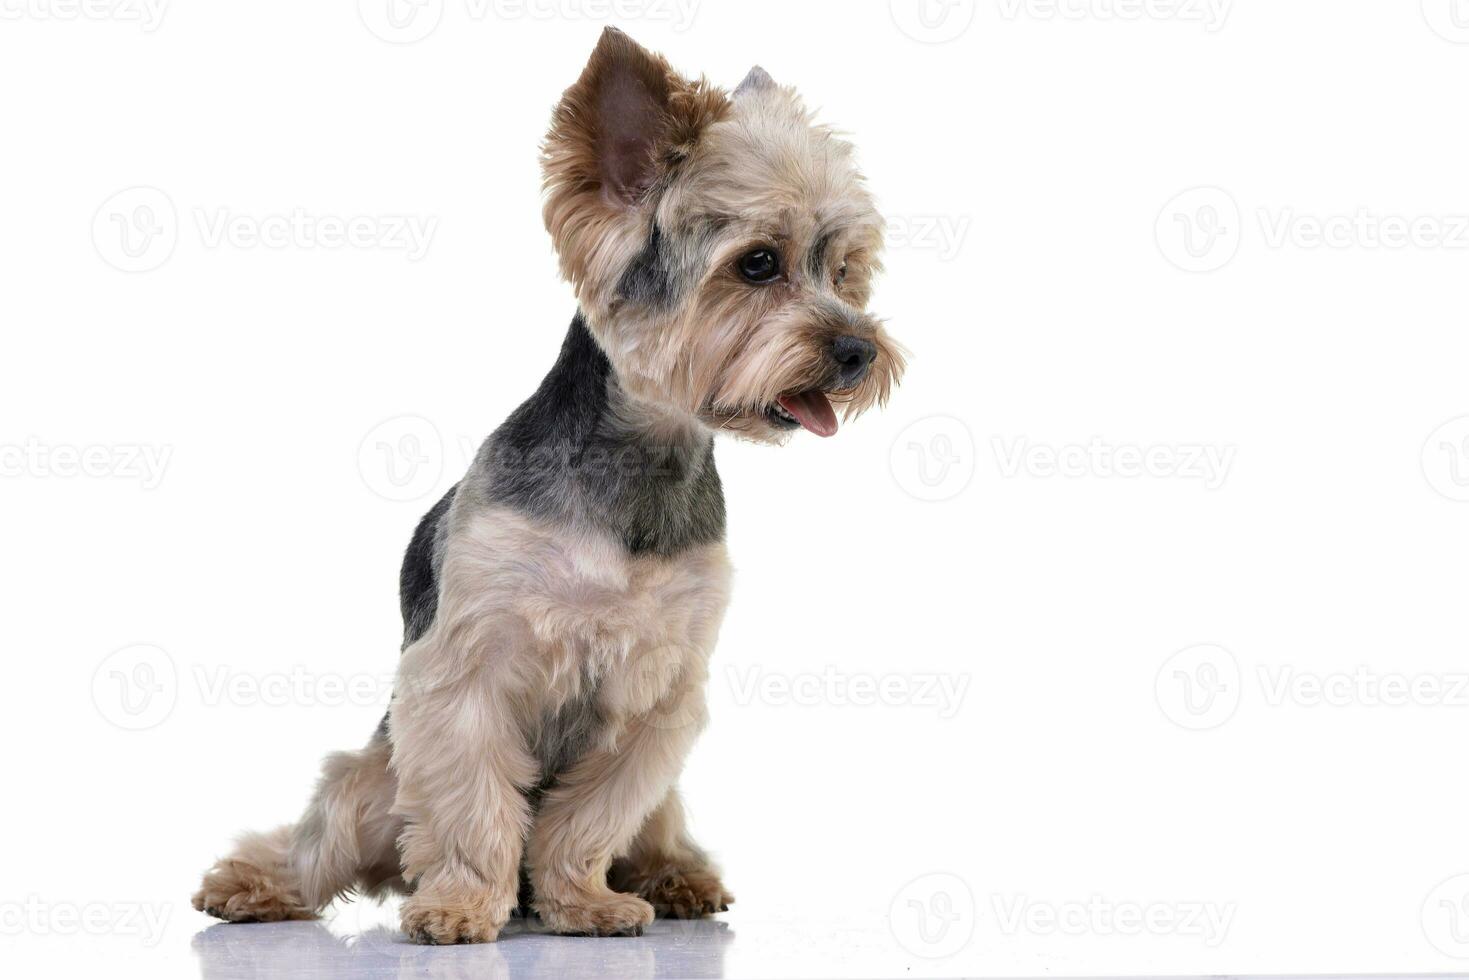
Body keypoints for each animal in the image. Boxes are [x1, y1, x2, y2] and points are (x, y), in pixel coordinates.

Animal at [192, 28, 904, 940]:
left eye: (843, 270)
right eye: (756, 264)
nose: (858, 350)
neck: (640, 462)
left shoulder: (656, 693)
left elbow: (589, 815)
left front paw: (583, 901)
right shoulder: (469, 670)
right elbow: (471, 807)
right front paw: (461, 904)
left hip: (660, 800)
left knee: (654, 824)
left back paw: (674, 878)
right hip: (373, 779)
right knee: (326, 840)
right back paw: (256, 885)